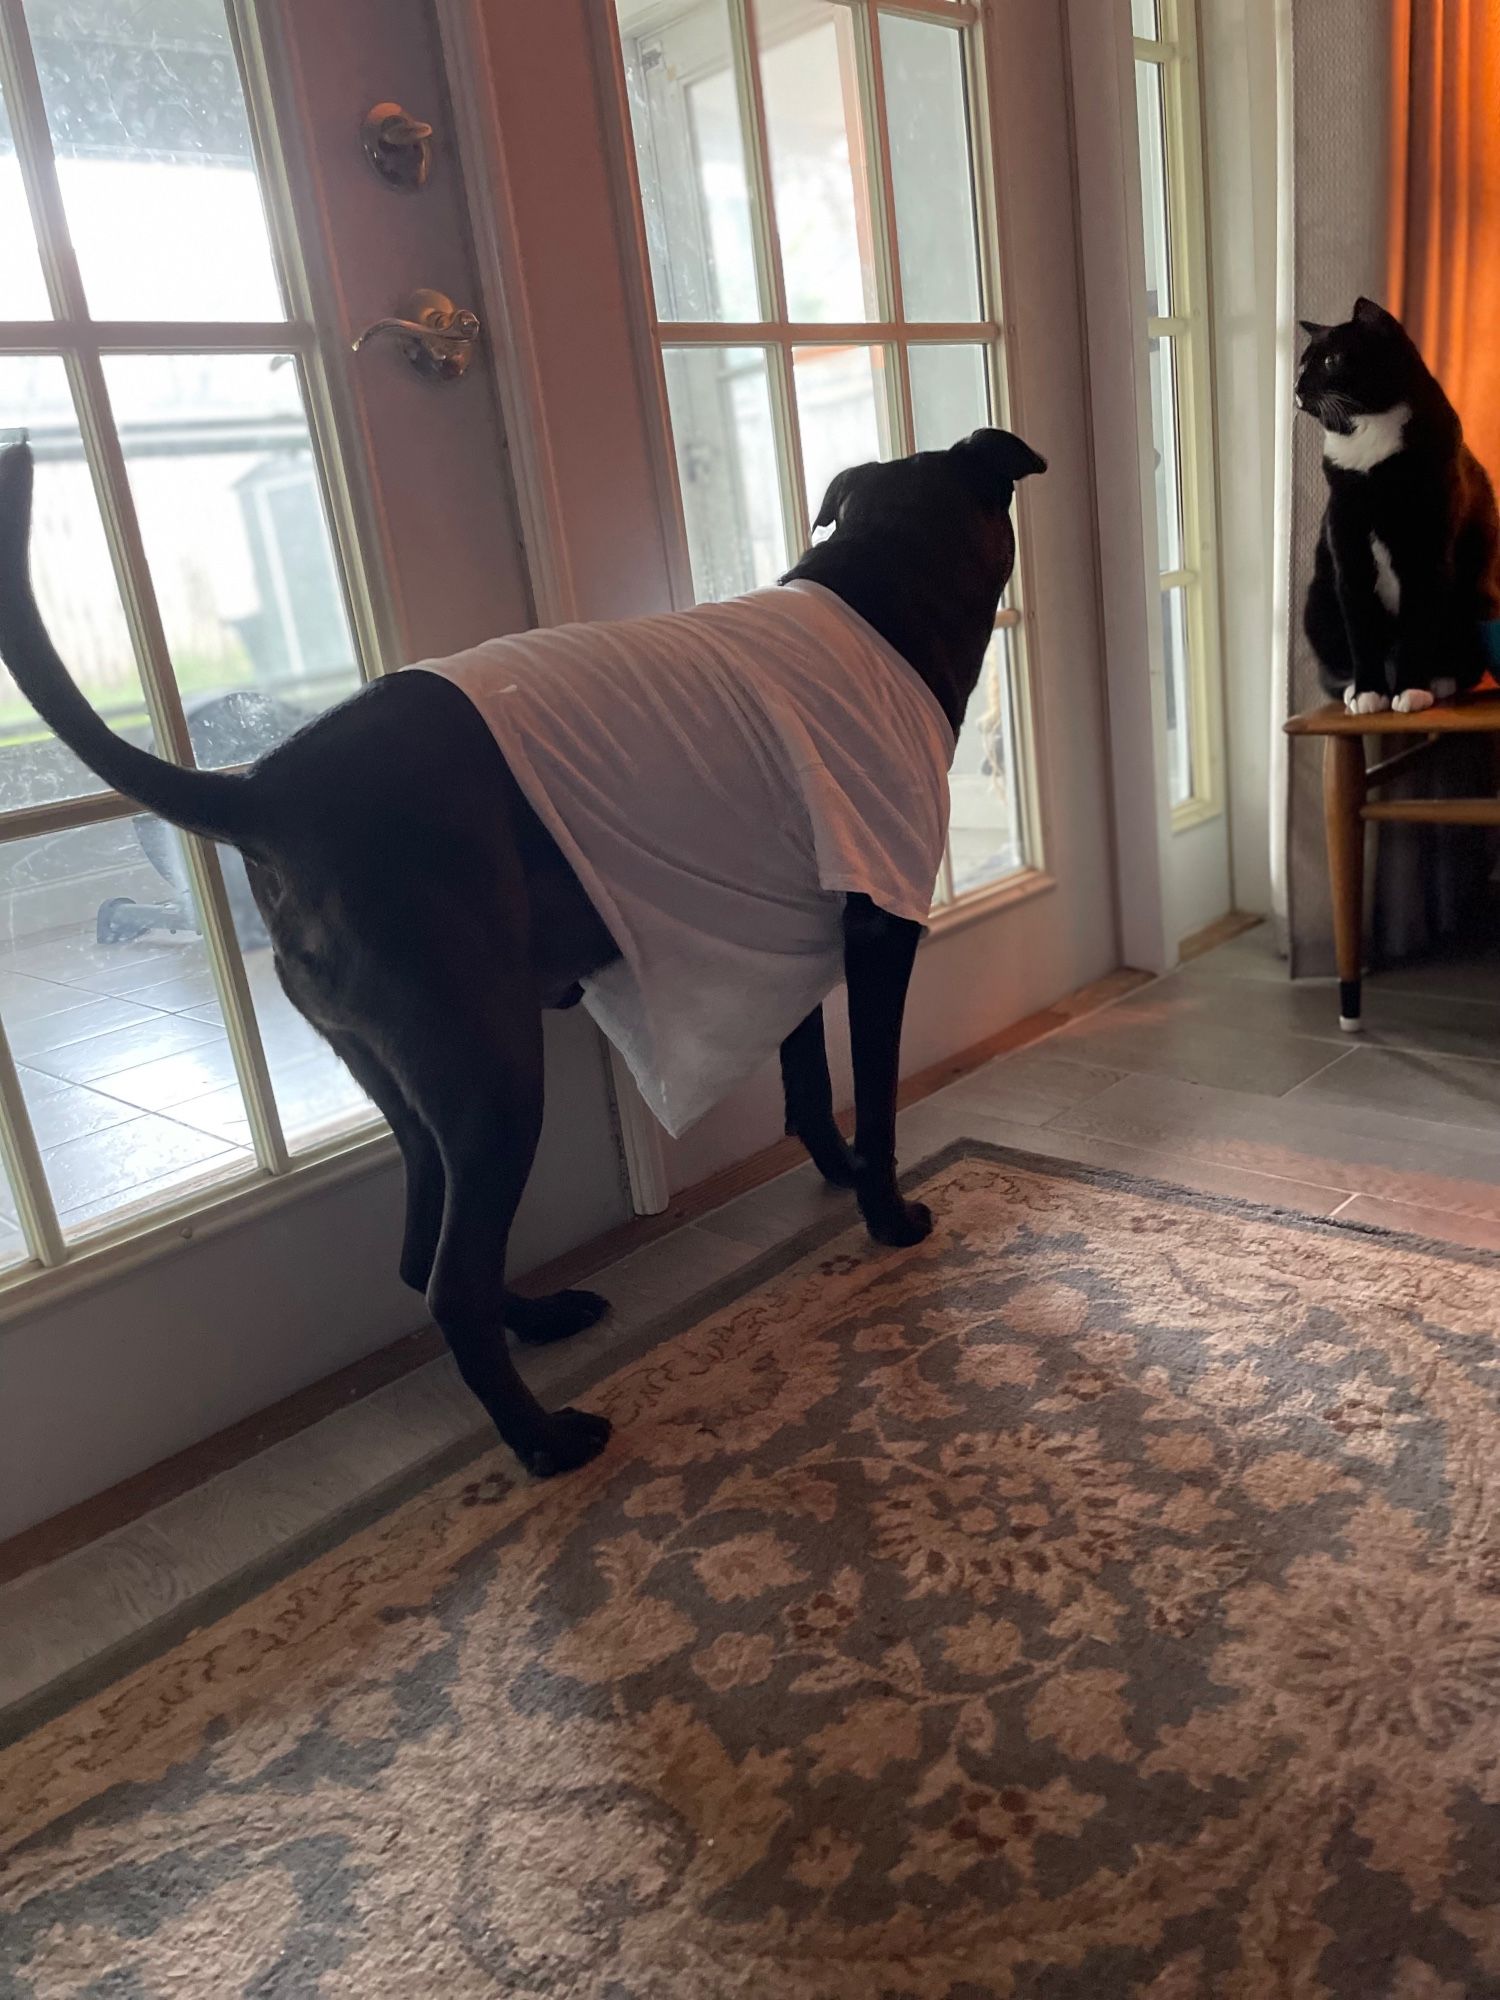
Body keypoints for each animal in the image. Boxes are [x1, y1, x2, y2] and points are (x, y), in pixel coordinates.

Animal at [0, 430, 1048, 1480]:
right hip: (494, 1076)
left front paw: (834, 1169)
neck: (878, 590)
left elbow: (806, 1081)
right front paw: (888, 1213)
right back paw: (543, 1440)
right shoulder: (879, 933)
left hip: (409, 1083)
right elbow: (873, 1091)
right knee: (450, 1281)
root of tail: (265, 788)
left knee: (422, 1252)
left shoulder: (779, 928)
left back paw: (537, 1321)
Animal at [1296, 298, 1496, 720]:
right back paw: (1354, 686)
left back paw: (1439, 682)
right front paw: (1368, 693)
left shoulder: (1427, 556)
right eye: (1302, 365)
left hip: (1478, 598)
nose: (1297, 387)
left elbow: (1417, 625)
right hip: (1316, 605)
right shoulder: (1348, 546)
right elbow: (1361, 628)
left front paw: (1412, 690)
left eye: (1331, 360)